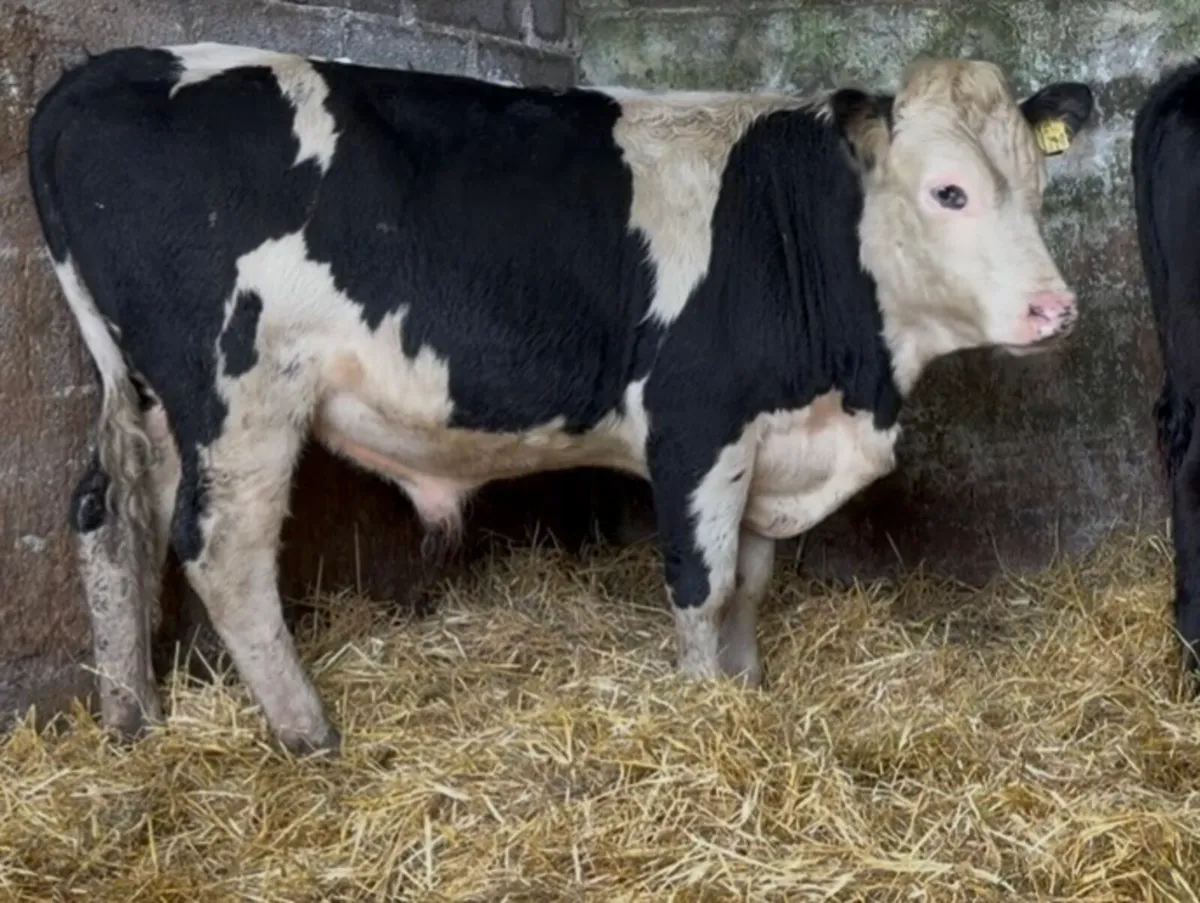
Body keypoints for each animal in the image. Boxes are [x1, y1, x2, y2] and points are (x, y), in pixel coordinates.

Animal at [27, 43, 1094, 755]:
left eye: (1041, 187)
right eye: (950, 192)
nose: (1056, 308)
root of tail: (112, 71)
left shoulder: (769, 438)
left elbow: (750, 585)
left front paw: (745, 692)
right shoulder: (696, 425)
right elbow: (703, 586)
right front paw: (703, 710)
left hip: (152, 397)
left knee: (110, 519)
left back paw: (133, 719)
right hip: (238, 389)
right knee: (225, 551)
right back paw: (307, 731)